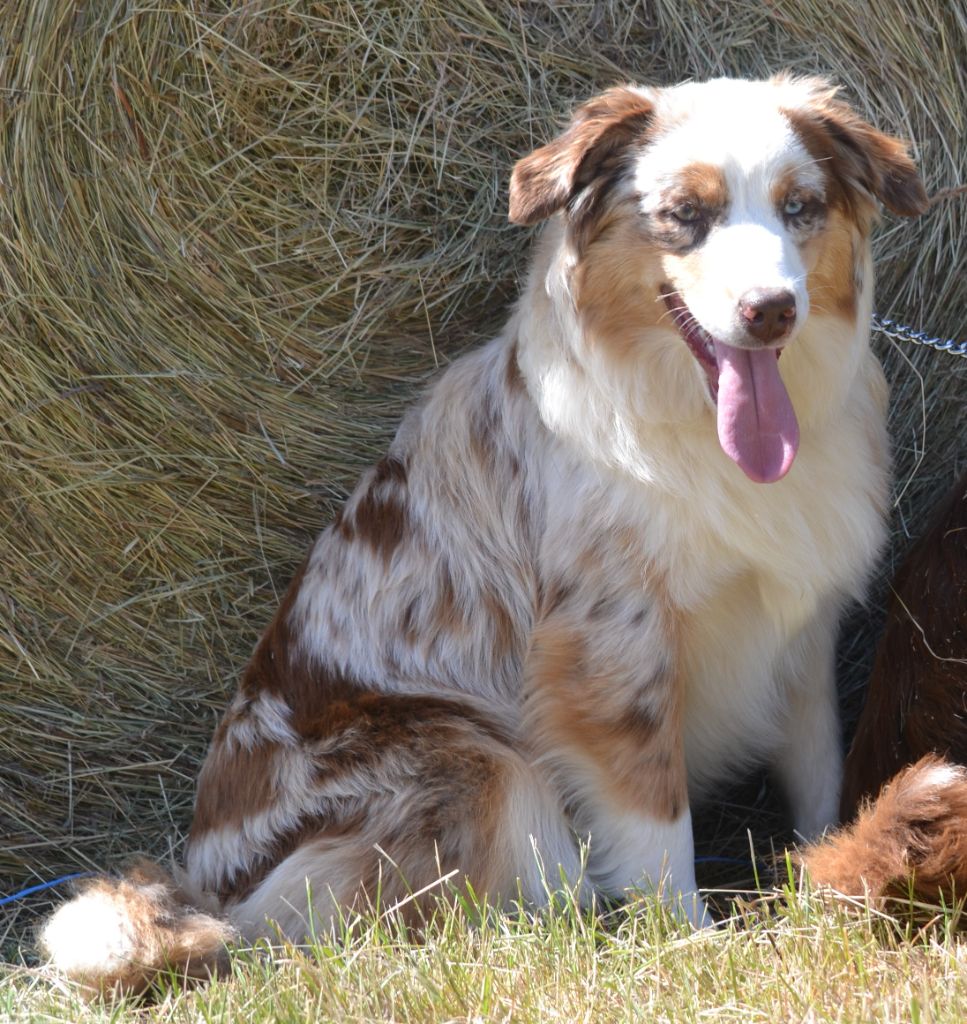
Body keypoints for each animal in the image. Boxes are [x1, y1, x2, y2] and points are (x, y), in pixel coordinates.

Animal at [43, 74, 930, 991]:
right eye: (685, 213)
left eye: (800, 207)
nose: (770, 311)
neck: (688, 422)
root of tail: (210, 887)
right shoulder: (610, 648)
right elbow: (656, 824)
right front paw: (693, 947)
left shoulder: (799, 626)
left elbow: (820, 767)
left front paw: (836, 870)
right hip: (472, 756)